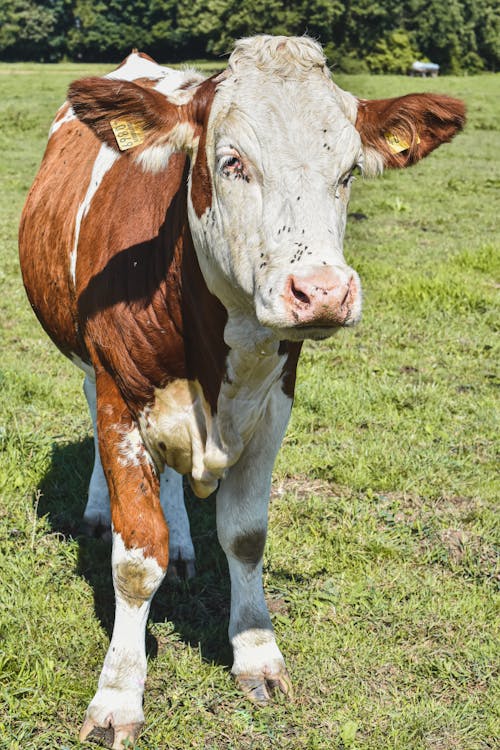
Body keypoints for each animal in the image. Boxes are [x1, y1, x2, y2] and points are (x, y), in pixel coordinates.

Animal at [19, 33, 464, 748]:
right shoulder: (120, 392)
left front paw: (257, 655)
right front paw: (118, 693)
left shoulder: (276, 397)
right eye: (232, 162)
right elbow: (135, 557)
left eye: (348, 172)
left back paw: (184, 542)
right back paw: (96, 508)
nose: (323, 292)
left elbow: (247, 533)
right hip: (88, 364)